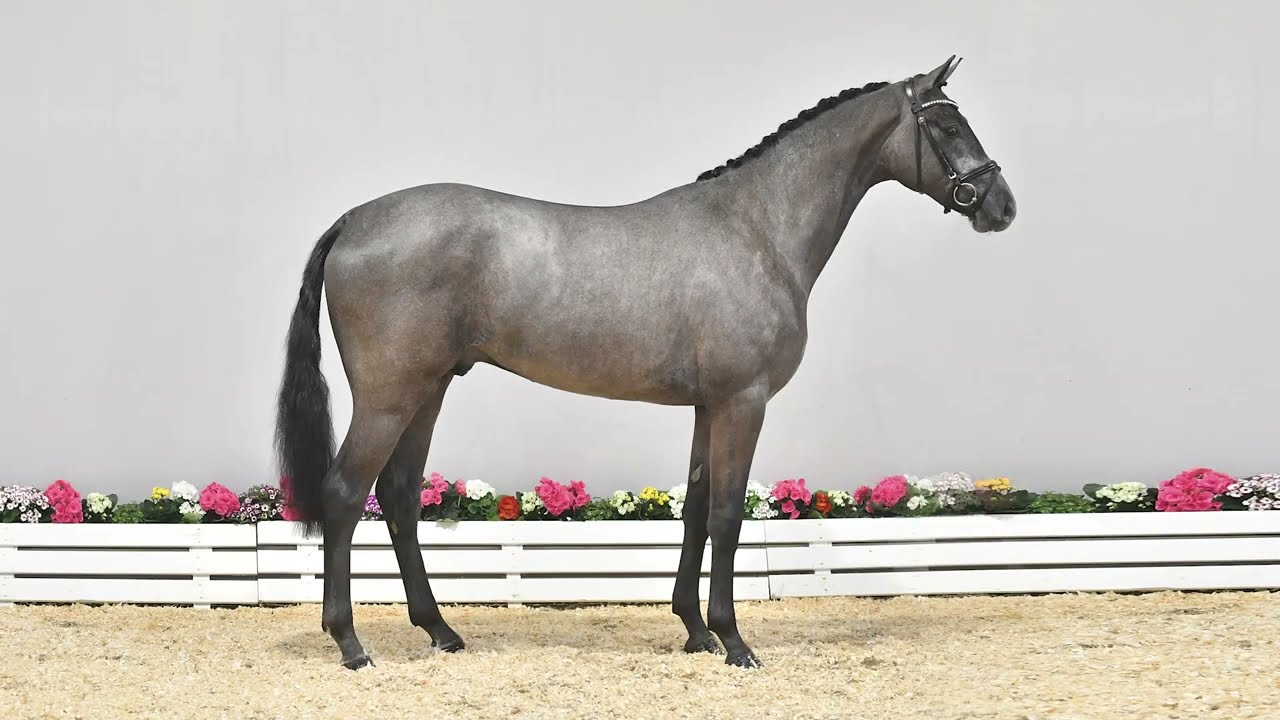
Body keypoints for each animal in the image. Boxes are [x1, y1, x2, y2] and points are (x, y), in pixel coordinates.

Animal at [275, 55, 1016, 670]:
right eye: (947, 125)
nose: (1002, 207)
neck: (757, 230)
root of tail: (355, 221)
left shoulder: (708, 406)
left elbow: (695, 509)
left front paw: (695, 631)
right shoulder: (744, 401)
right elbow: (727, 516)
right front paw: (735, 642)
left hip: (427, 391)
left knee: (399, 496)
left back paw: (442, 631)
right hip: (388, 397)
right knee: (346, 494)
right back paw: (350, 644)